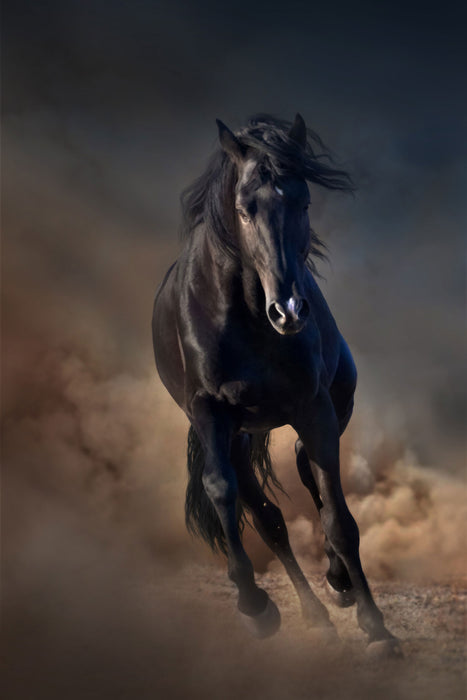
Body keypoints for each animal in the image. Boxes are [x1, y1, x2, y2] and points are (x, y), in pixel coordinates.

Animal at [152, 114, 401, 657]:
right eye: (245, 209)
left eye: (303, 202)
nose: (288, 311)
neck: (245, 315)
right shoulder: (208, 412)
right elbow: (222, 491)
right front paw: (254, 606)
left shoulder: (314, 409)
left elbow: (340, 520)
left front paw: (376, 627)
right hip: (238, 437)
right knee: (267, 517)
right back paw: (313, 616)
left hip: (323, 411)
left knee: (309, 475)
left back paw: (338, 588)